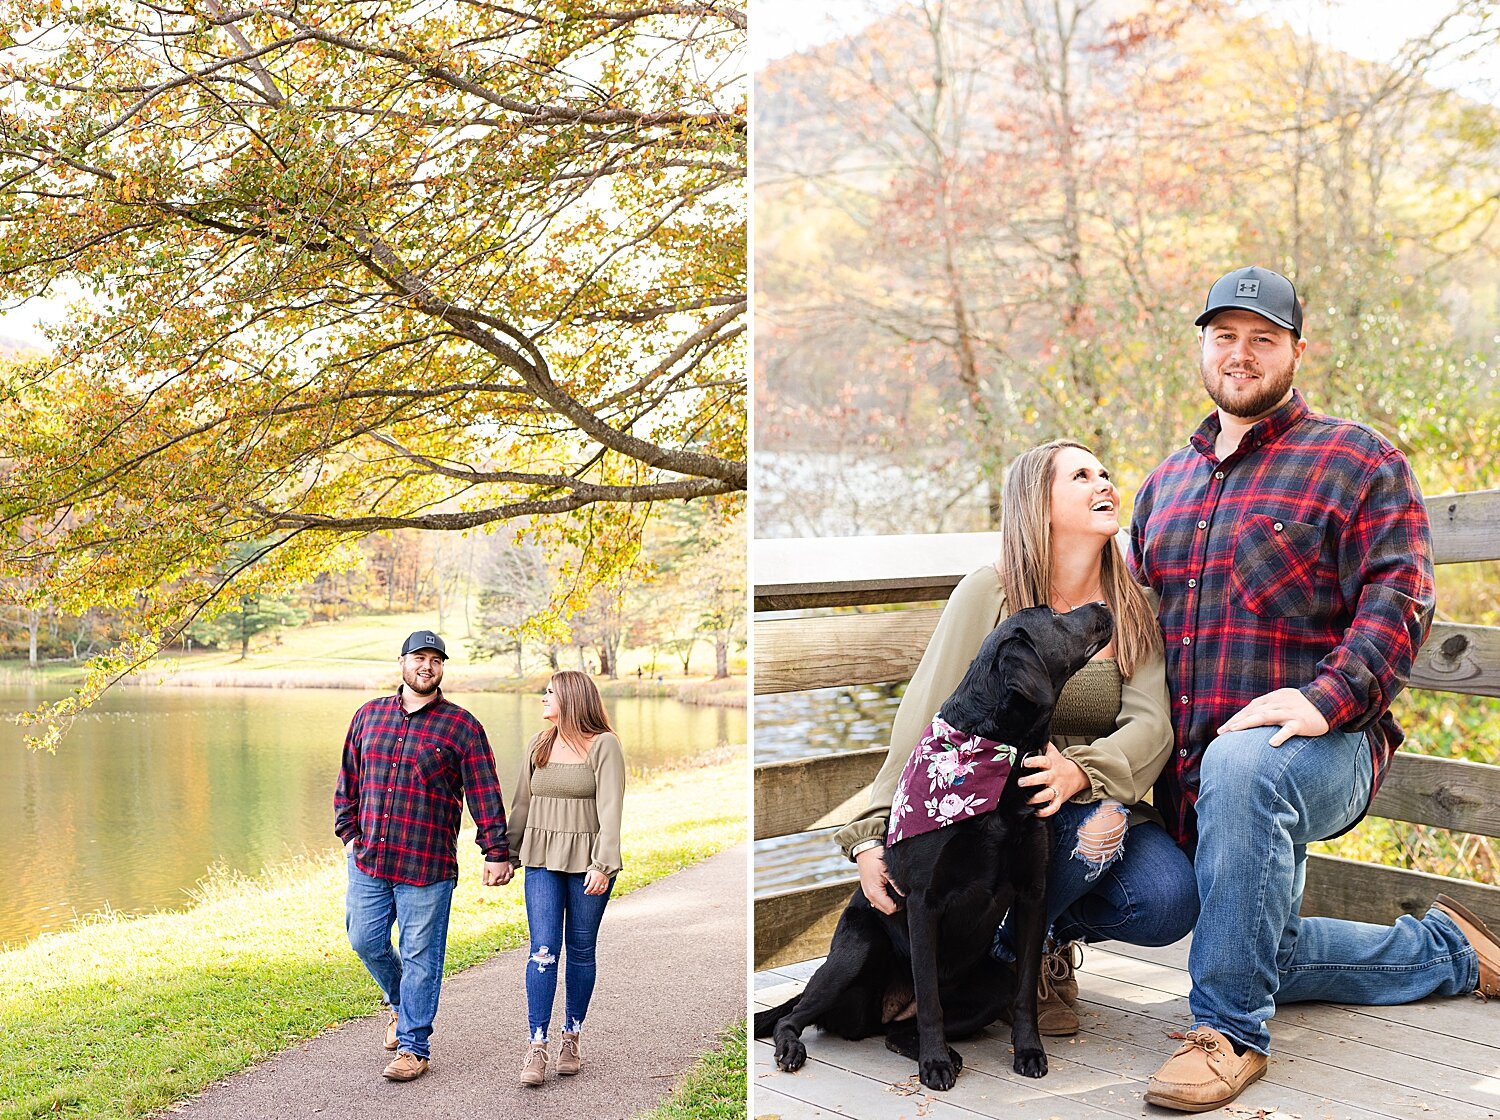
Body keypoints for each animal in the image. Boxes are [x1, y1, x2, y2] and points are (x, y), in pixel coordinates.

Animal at [756, 605, 1110, 1097]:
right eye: (1055, 616)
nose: (1102, 605)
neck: (1000, 756)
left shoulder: (1032, 893)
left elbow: (1024, 993)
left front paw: (1029, 1052)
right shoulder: (923, 902)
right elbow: (928, 998)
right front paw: (935, 1064)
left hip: (990, 982)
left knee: (896, 1032)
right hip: (855, 953)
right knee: (792, 1016)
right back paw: (796, 1047)